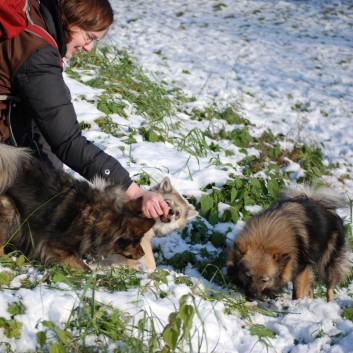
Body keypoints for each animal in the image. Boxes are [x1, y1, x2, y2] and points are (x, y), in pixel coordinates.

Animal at [0, 144, 155, 270]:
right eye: (136, 241)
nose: (143, 254)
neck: (95, 215)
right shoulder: (54, 247)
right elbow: (85, 268)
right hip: (10, 209)